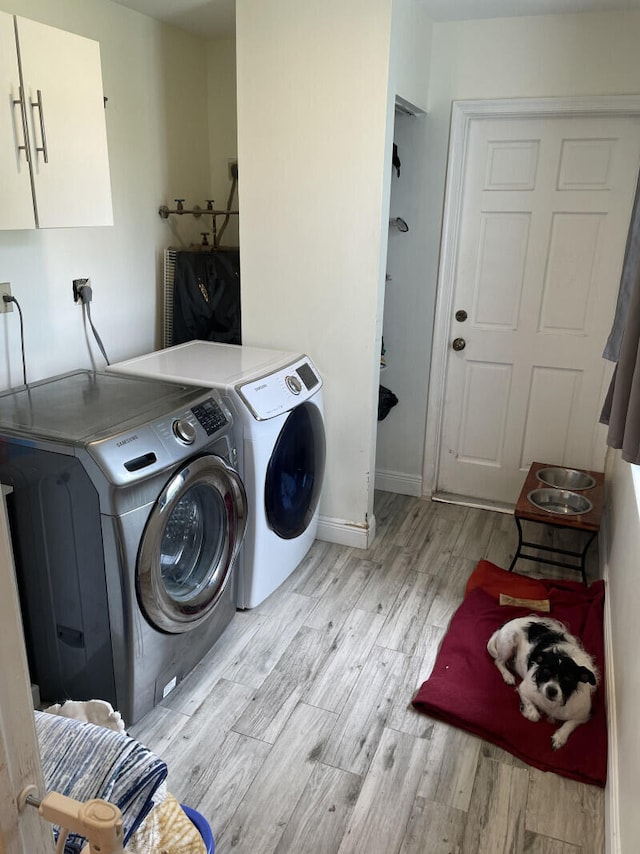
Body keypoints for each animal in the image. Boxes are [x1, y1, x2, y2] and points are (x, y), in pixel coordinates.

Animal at [488, 620, 596, 752]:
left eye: (568, 678)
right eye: (545, 671)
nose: (551, 690)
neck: (554, 703)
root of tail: (506, 624)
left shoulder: (584, 715)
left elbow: (570, 723)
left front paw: (560, 737)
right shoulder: (524, 689)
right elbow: (534, 715)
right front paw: (527, 712)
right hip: (508, 644)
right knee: (498, 661)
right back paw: (508, 675)